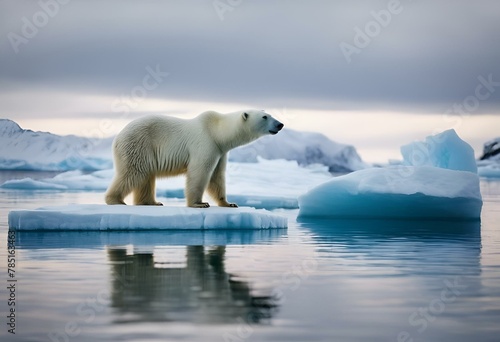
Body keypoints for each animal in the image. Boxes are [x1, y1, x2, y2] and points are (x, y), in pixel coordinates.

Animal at [103, 109, 284, 207]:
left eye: (269, 114)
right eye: (265, 117)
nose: (280, 124)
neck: (217, 131)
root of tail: (117, 138)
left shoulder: (220, 151)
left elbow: (217, 177)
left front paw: (229, 203)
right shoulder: (205, 143)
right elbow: (200, 173)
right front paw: (200, 203)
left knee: (146, 176)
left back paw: (152, 202)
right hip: (138, 145)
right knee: (133, 173)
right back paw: (115, 200)